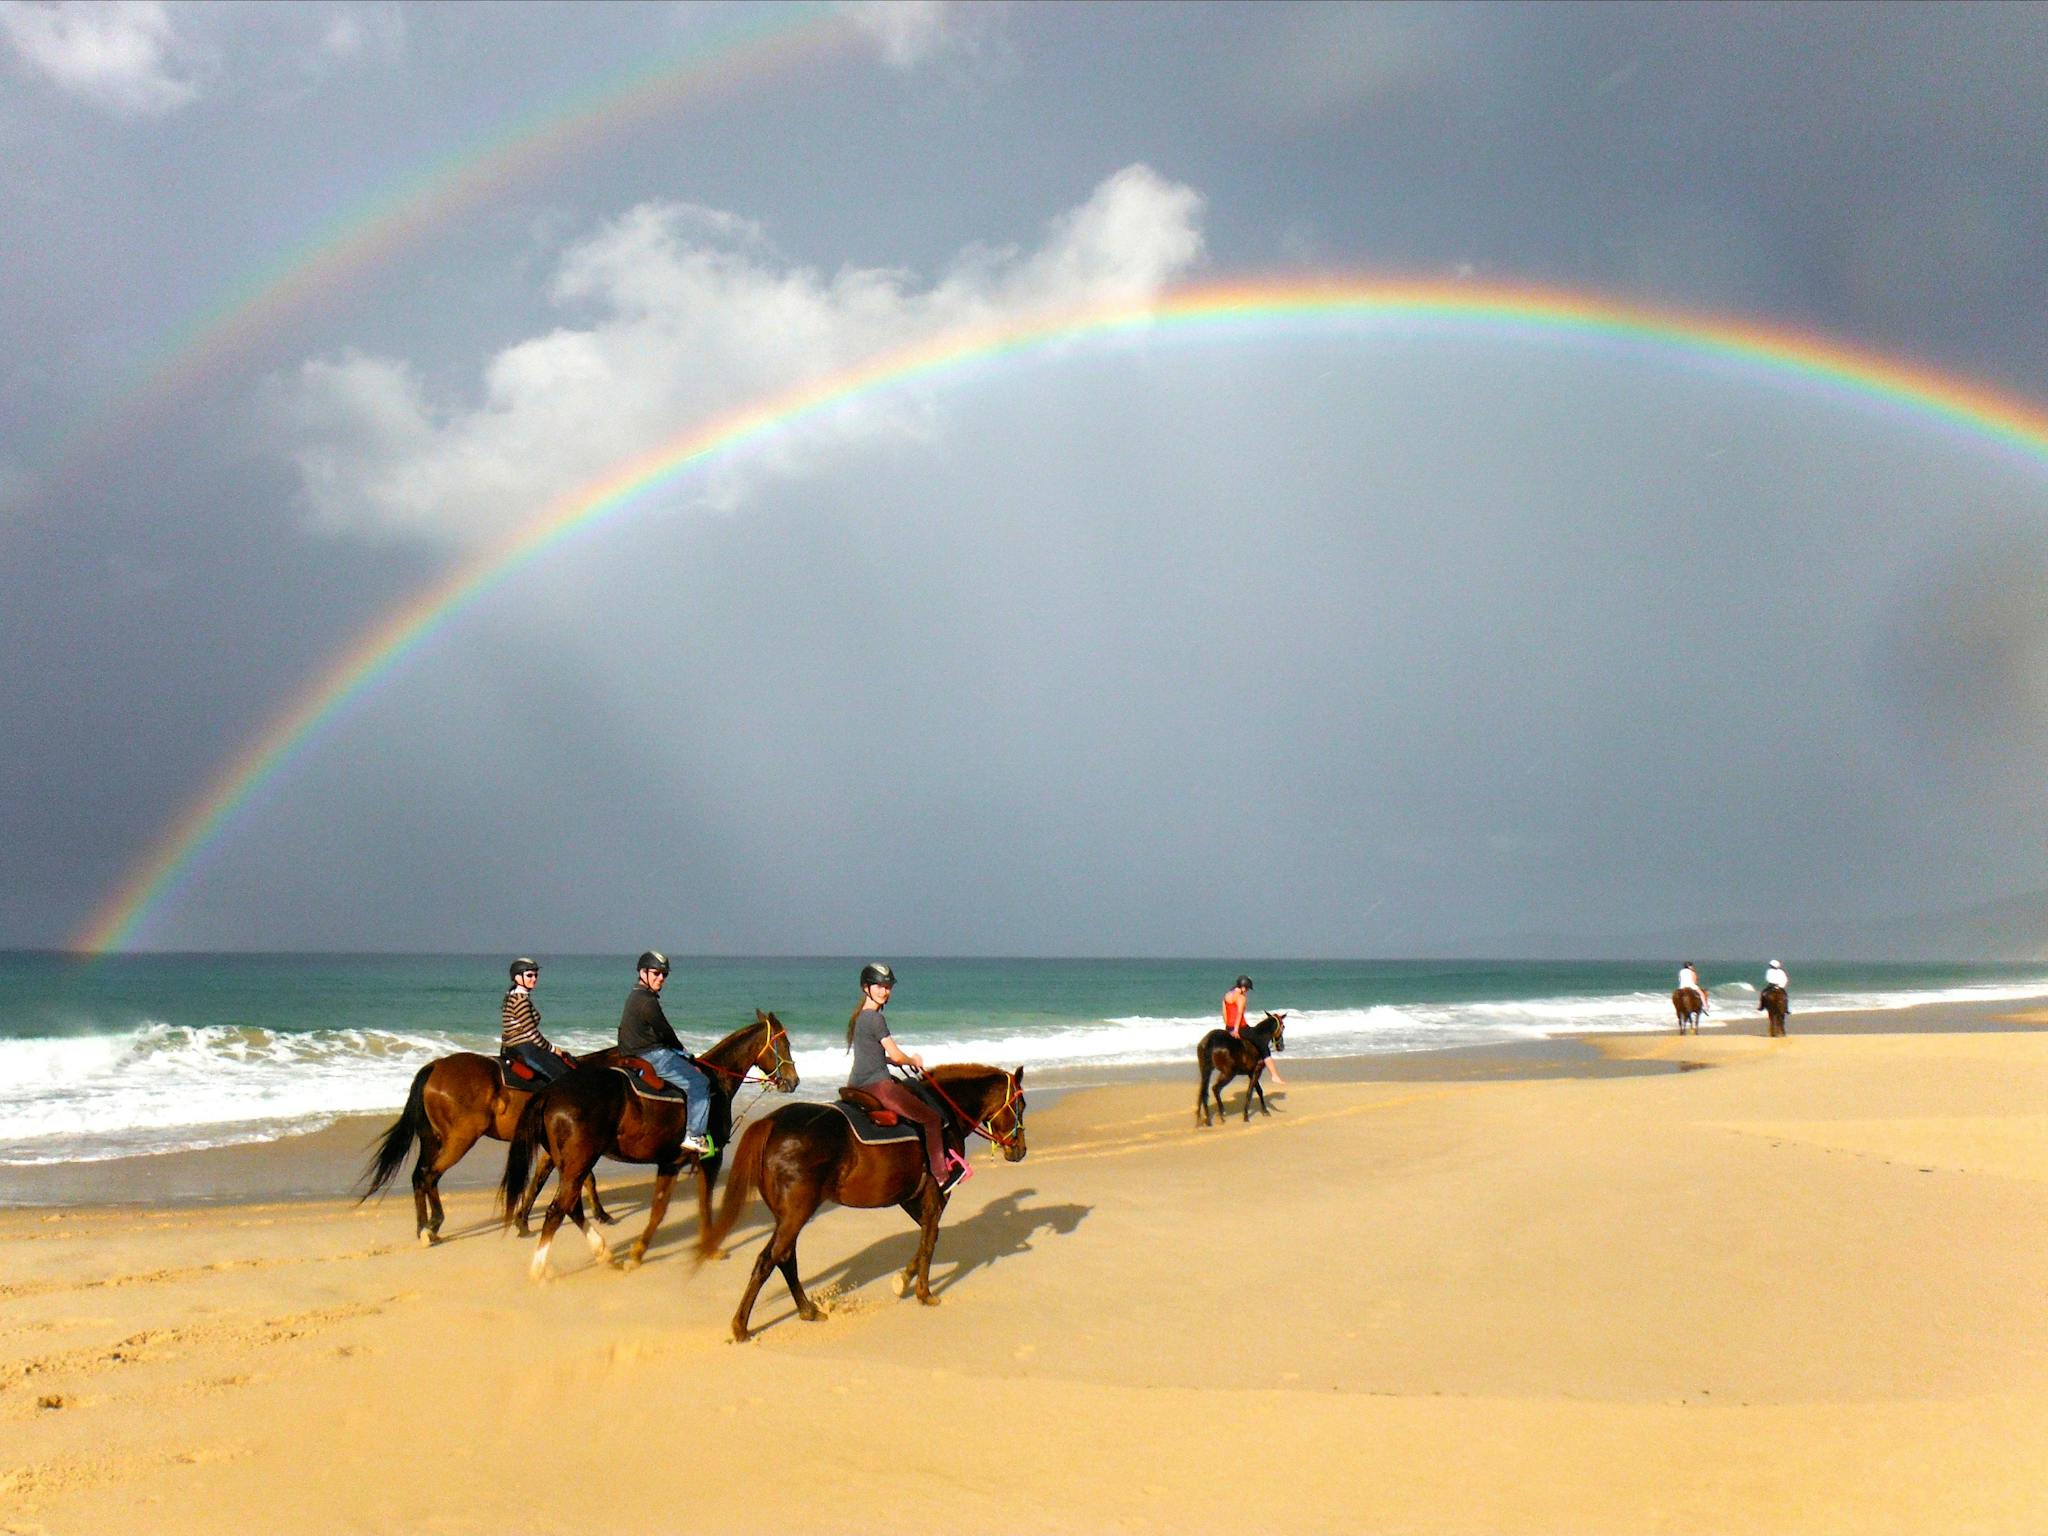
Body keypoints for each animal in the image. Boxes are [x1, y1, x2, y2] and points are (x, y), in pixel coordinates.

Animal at [360, 1048, 614, 1253]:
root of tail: (436, 1066)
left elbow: (542, 1180)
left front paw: (522, 1222)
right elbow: (580, 1178)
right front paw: (602, 1214)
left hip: (433, 1140)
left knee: (420, 1176)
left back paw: (424, 1228)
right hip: (460, 1140)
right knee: (429, 1175)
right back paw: (433, 1225)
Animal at [495, 1015, 798, 1277]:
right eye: (784, 1043)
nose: (793, 1081)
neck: (717, 1083)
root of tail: (550, 1091)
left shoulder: (670, 1163)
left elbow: (658, 1211)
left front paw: (637, 1253)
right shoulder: (711, 1160)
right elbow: (704, 1204)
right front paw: (710, 1248)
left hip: (571, 1164)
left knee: (571, 1206)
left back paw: (603, 1253)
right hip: (579, 1162)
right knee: (557, 1210)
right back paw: (539, 1270)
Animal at [700, 1064, 1024, 1343]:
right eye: (1020, 1105)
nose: (1020, 1150)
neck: (944, 1112)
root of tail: (771, 1122)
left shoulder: (911, 1197)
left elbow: (925, 1238)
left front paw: (904, 1280)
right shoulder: (936, 1194)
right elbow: (930, 1239)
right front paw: (923, 1292)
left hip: (787, 1214)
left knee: (785, 1257)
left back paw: (806, 1310)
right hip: (796, 1212)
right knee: (770, 1259)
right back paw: (741, 1326)